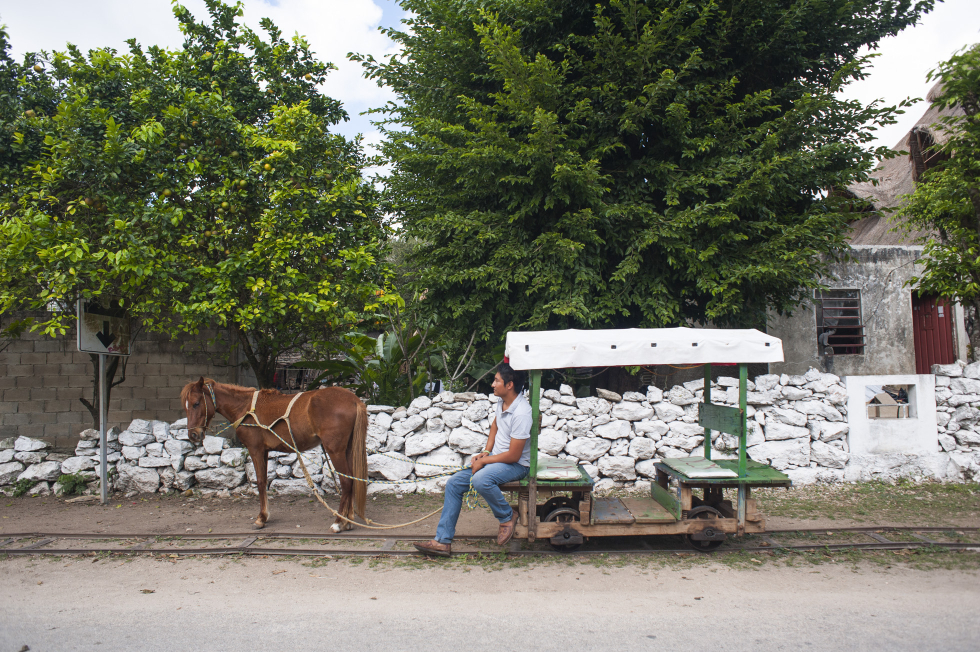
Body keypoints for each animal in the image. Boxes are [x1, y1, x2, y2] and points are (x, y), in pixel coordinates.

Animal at [180, 376, 368, 528]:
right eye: (186, 406)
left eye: (196, 403)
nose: (193, 435)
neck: (245, 408)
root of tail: (353, 400)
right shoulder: (264, 451)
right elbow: (263, 481)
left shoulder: (255, 449)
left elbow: (261, 482)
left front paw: (261, 518)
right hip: (347, 449)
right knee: (352, 479)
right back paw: (347, 520)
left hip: (335, 450)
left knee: (346, 482)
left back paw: (338, 522)